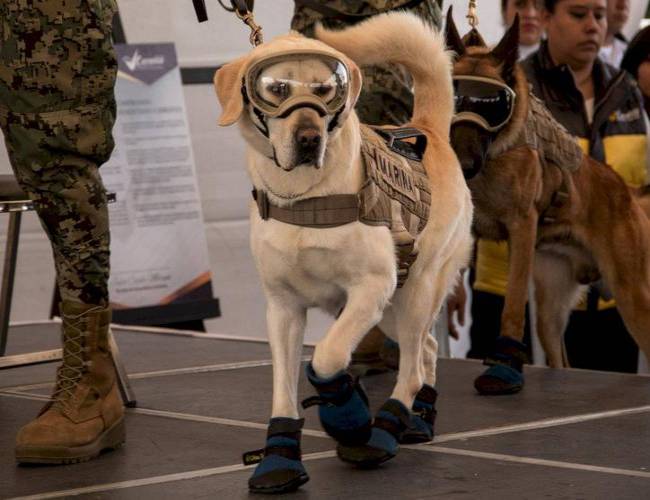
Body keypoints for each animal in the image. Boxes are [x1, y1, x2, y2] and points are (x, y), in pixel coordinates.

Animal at [214, 13, 470, 494]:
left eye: (325, 90)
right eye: (276, 88)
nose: (309, 138)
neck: (304, 196)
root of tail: (427, 128)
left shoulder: (371, 288)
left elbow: (329, 356)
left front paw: (346, 412)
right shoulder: (283, 308)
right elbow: (283, 388)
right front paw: (279, 459)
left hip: (414, 291)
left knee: (411, 365)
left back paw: (386, 428)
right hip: (394, 310)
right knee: (427, 348)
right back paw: (418, 420)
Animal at [442, 11, 648, 394]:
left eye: (493, 104)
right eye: (455, 98)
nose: (463, 165)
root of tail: (627, 192)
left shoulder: (521, 230)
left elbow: (511, 304)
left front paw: (504, 364)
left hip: (633, 297)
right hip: (551, 313)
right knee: (560, 359)